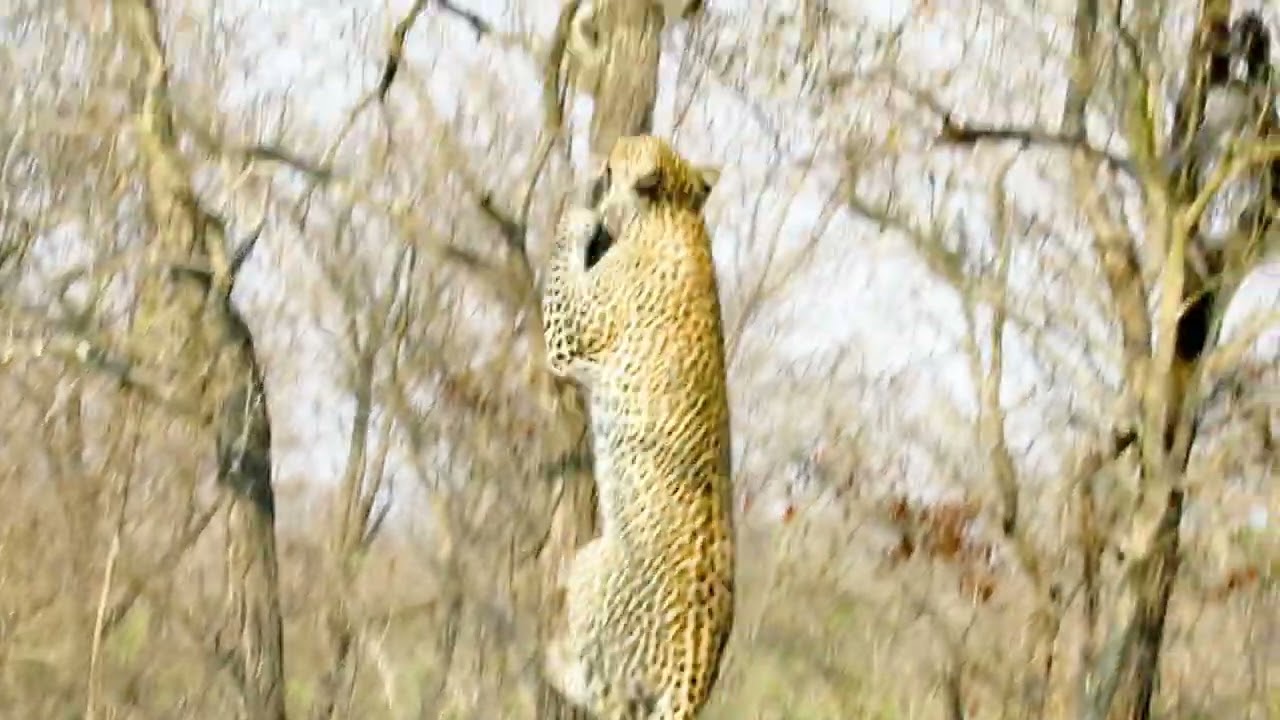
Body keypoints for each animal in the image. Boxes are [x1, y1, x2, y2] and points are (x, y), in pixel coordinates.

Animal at [540, 135, 734, 720]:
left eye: (612, 163)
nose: (599, 163)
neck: (678, 211)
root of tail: (696, 674)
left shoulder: (568, 336)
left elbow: (560, 270)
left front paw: (579, 209)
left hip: (591, 570)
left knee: (604, 695)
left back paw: (552, 661)